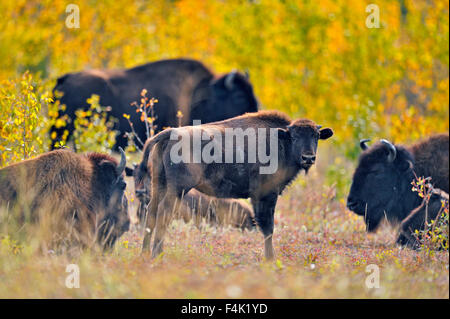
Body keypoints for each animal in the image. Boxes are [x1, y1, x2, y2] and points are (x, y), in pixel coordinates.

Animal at [141, 110, 334, 260]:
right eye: (294, 137)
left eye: (316, 136)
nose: (308, 158)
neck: (280, 140)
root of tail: (172, 133)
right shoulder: (265, 196)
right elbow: (268, 228)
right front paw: (270, 259)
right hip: (178, 189)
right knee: (164, 212)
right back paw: (157, 254)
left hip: (160, 184)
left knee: (152, 211)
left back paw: (145, 253)